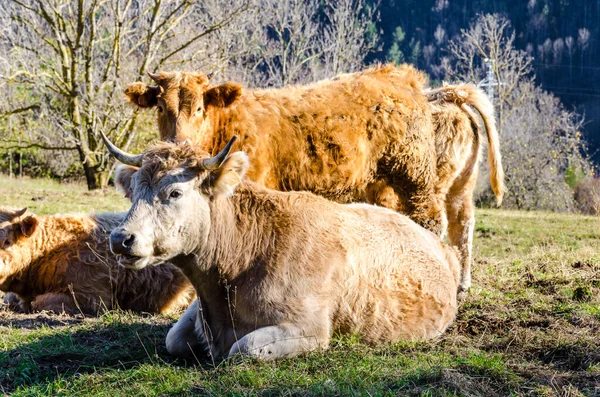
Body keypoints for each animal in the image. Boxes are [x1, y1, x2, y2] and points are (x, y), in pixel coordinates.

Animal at [103, 135, 462, 360]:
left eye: (175, 193)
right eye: (132, 191)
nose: (121, 239)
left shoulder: (310, 330)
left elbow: (244, 349)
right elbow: (173, 339)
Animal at [124, 63, 504, 290]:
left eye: (200, 107)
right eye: (161, 107)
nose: (178, 143)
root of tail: (399, 77)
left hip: (415, 177)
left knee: (434, 221)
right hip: (419, 185)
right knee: (459, 221)